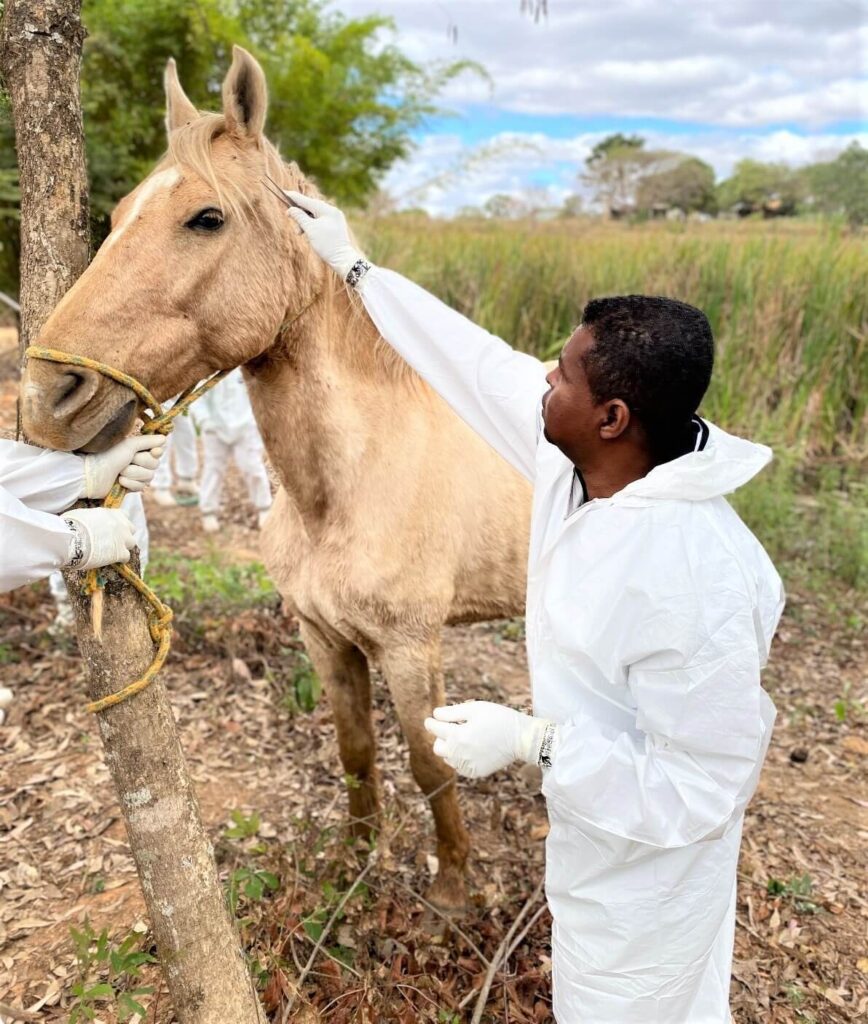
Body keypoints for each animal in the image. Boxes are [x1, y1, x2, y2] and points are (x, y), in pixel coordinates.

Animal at [20, 46, 532, 913]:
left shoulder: (411, 648)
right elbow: (356, 749)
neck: (343, 492)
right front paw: (357, 861)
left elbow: (431, 767)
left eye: (207, 218)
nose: (46, 398)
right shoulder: (324, 637)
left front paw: (452, 896)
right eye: (116, 215)